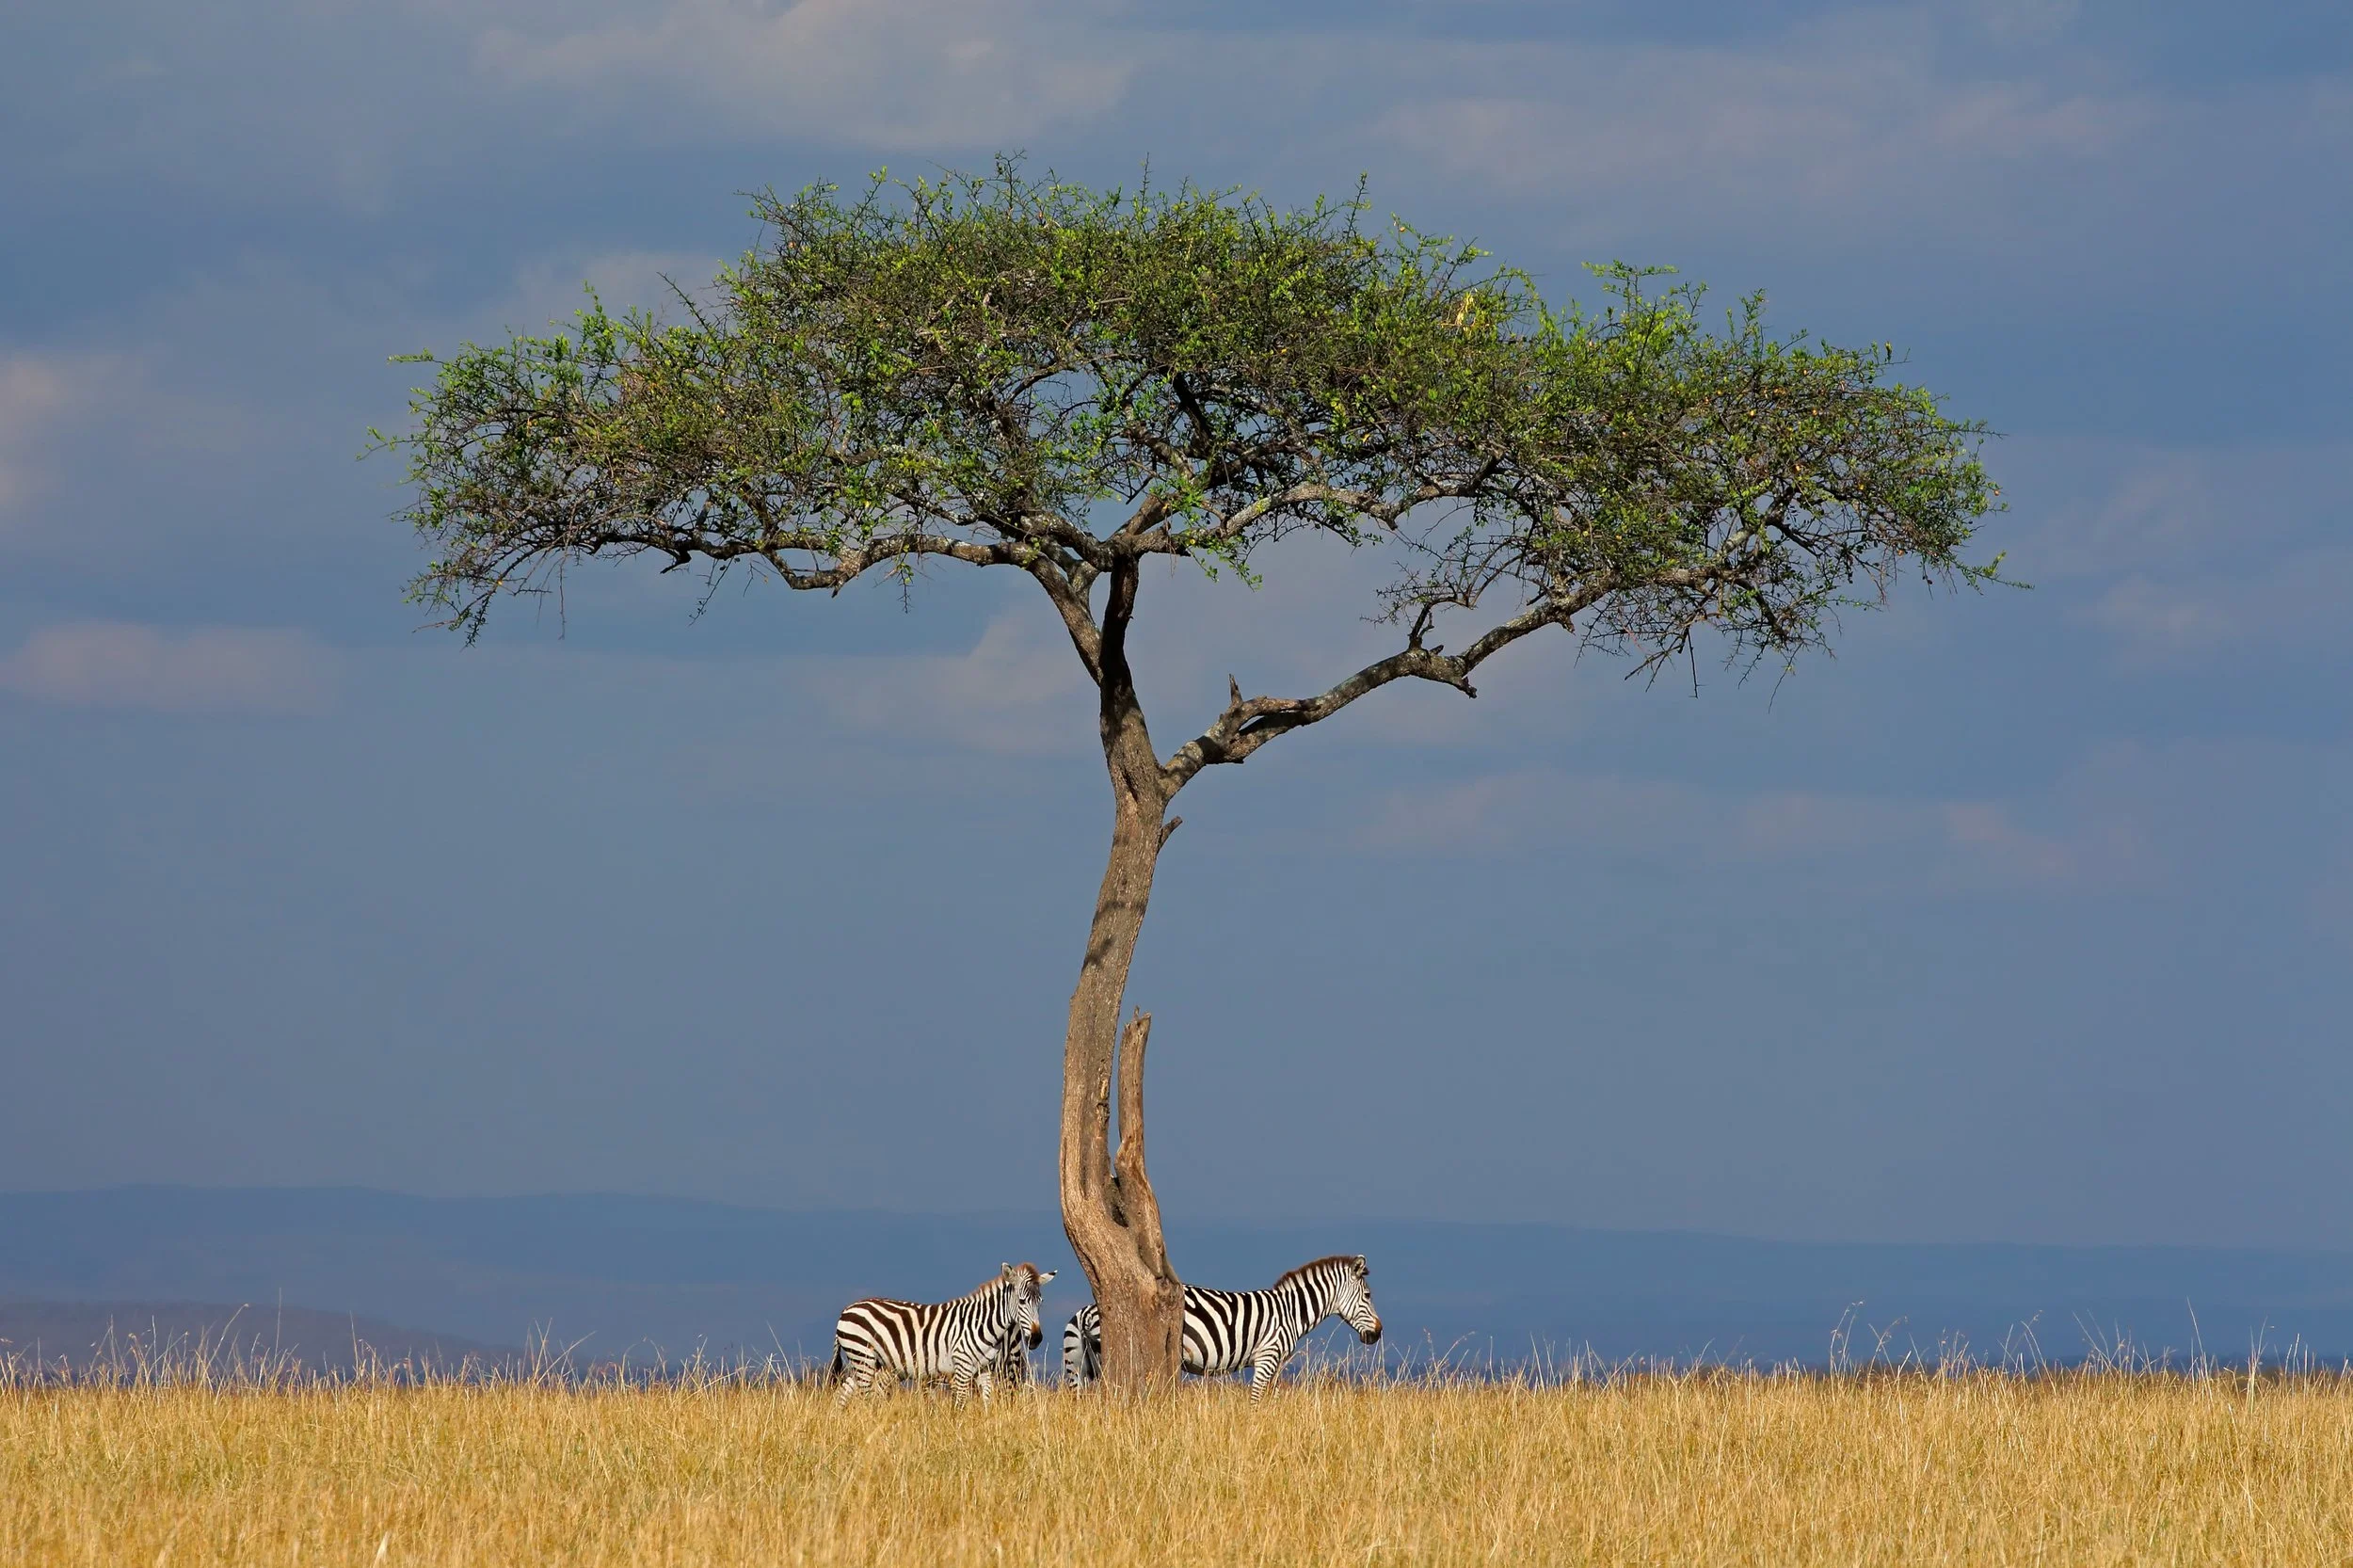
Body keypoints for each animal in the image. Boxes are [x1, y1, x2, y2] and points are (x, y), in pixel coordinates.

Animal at [830, 1262, 1055, 1406]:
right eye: (1022, 1301)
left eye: (1041, 1302)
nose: (1037, 1339)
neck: (982, 1324)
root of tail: (847, 1309)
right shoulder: (961, 1368)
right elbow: (960, 1403)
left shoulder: (983, 1369)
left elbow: (987, 1402)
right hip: (864, 1357)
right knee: (865, 1396)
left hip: (869, 1361)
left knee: (845, 1391)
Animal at [1062, 1255, 1381, 1398]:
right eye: (1368, 1296)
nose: (1378, 1334)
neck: (1290, 1312)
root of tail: (1088, 1310)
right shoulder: (1268, 1356)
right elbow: (1256, 1400)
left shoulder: (1275, 1363)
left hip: (1081, 1363)